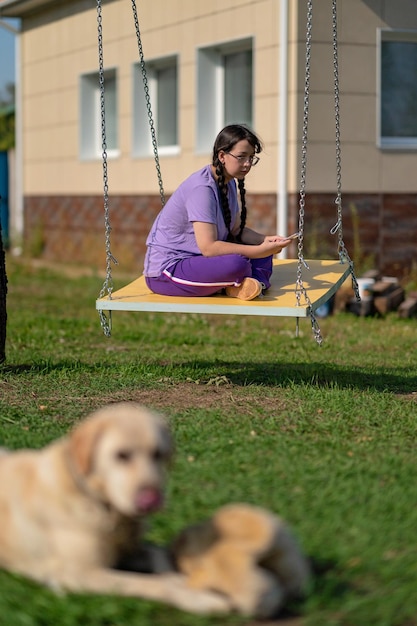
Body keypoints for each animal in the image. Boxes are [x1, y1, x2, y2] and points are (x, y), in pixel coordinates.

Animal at [0, 402, 229, 612]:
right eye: (121, 455)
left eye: (158, 454)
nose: (151, 499)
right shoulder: (79, 573)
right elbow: (149, 583)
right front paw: (197, 598)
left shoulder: (130, 549)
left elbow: (159, 555)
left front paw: (179, 577)